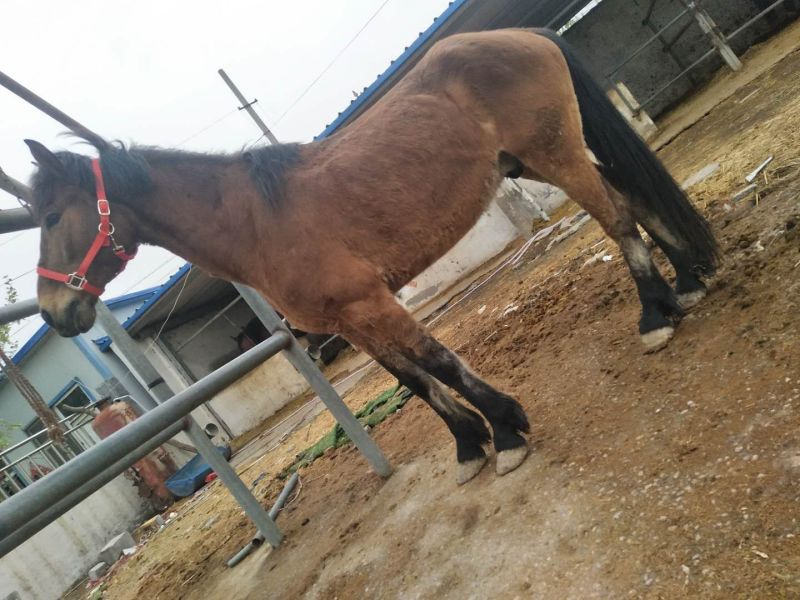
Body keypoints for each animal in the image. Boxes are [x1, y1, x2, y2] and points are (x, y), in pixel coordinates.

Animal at [23, 28, 717, 485]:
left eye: (52, 216)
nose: (56, 311)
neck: (258, 221)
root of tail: (522, 33)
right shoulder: (350, 322)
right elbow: (411, 380)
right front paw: (469, 446)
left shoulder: (373, 303)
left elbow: (439, 361)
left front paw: (507, 429)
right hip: (543, 158)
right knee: (634, 197)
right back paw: (690, 282)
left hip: (555, 152)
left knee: (618, 216)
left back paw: (654, 316)